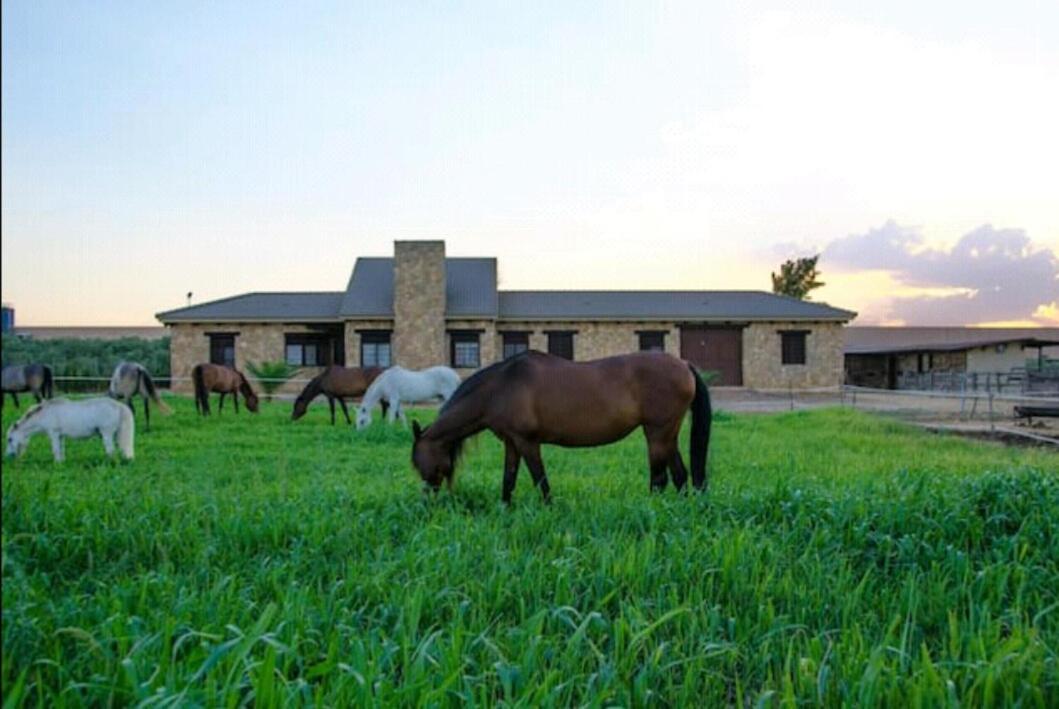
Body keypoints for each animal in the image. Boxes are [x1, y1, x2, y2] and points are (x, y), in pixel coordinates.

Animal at [4, 396, 134, 462]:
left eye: (10, 439)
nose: (9, 456)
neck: (45, 413)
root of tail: (118, 405)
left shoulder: (54, 434)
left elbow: (56, 450)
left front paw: (56, 464)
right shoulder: (60, 436)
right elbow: (61, 450)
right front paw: (61, 463)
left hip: (107, 434)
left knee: (110, 451)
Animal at [410, 351, 711, 500]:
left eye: (418, 461)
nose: (428, 500)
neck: (501, 387)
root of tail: (684, 364)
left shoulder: (528, 442)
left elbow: (540, 480)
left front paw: (548, 509)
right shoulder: (511, 443)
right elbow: (508, 480)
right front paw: (505, 508)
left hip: (657, 433)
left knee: (660, 479)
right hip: (667, 434)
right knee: (680, 475)